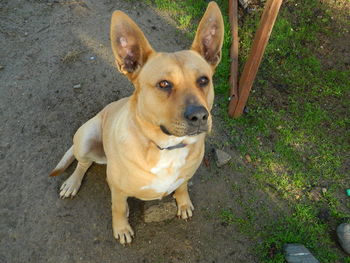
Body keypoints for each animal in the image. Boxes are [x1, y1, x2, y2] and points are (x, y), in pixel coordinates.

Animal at [49, 1, 224, 245]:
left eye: (203, 80)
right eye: (164, 84)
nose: (199, 116)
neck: (167, 147)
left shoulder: (185, 176)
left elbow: (182, 187)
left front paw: (184, 203)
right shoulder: (118, 190)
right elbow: (118, 209)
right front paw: (121, 228)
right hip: (85, 138)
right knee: (83, 163)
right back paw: (72, 183)